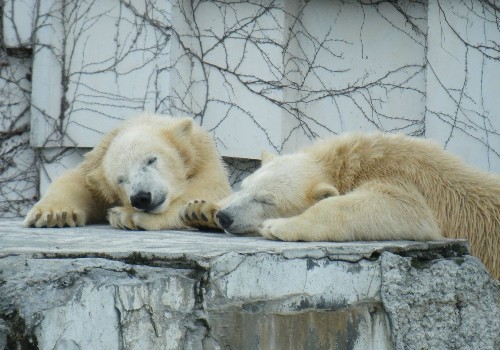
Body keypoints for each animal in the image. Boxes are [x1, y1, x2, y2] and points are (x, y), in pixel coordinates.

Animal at [24, 113, 231, 231]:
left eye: (151, 159)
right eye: (121, 179)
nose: (141, 197)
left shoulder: (203, 160)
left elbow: (206, 189)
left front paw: (126, 215)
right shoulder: (95, 165)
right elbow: (78, 181)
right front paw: (55, 214)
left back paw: (201, 213)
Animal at [183, 133, 500, 278]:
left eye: (267, 200)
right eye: (244, 187)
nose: (225, 217)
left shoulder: (402, 177)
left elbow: (403, 209)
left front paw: (279, 226)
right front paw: (200, 210)